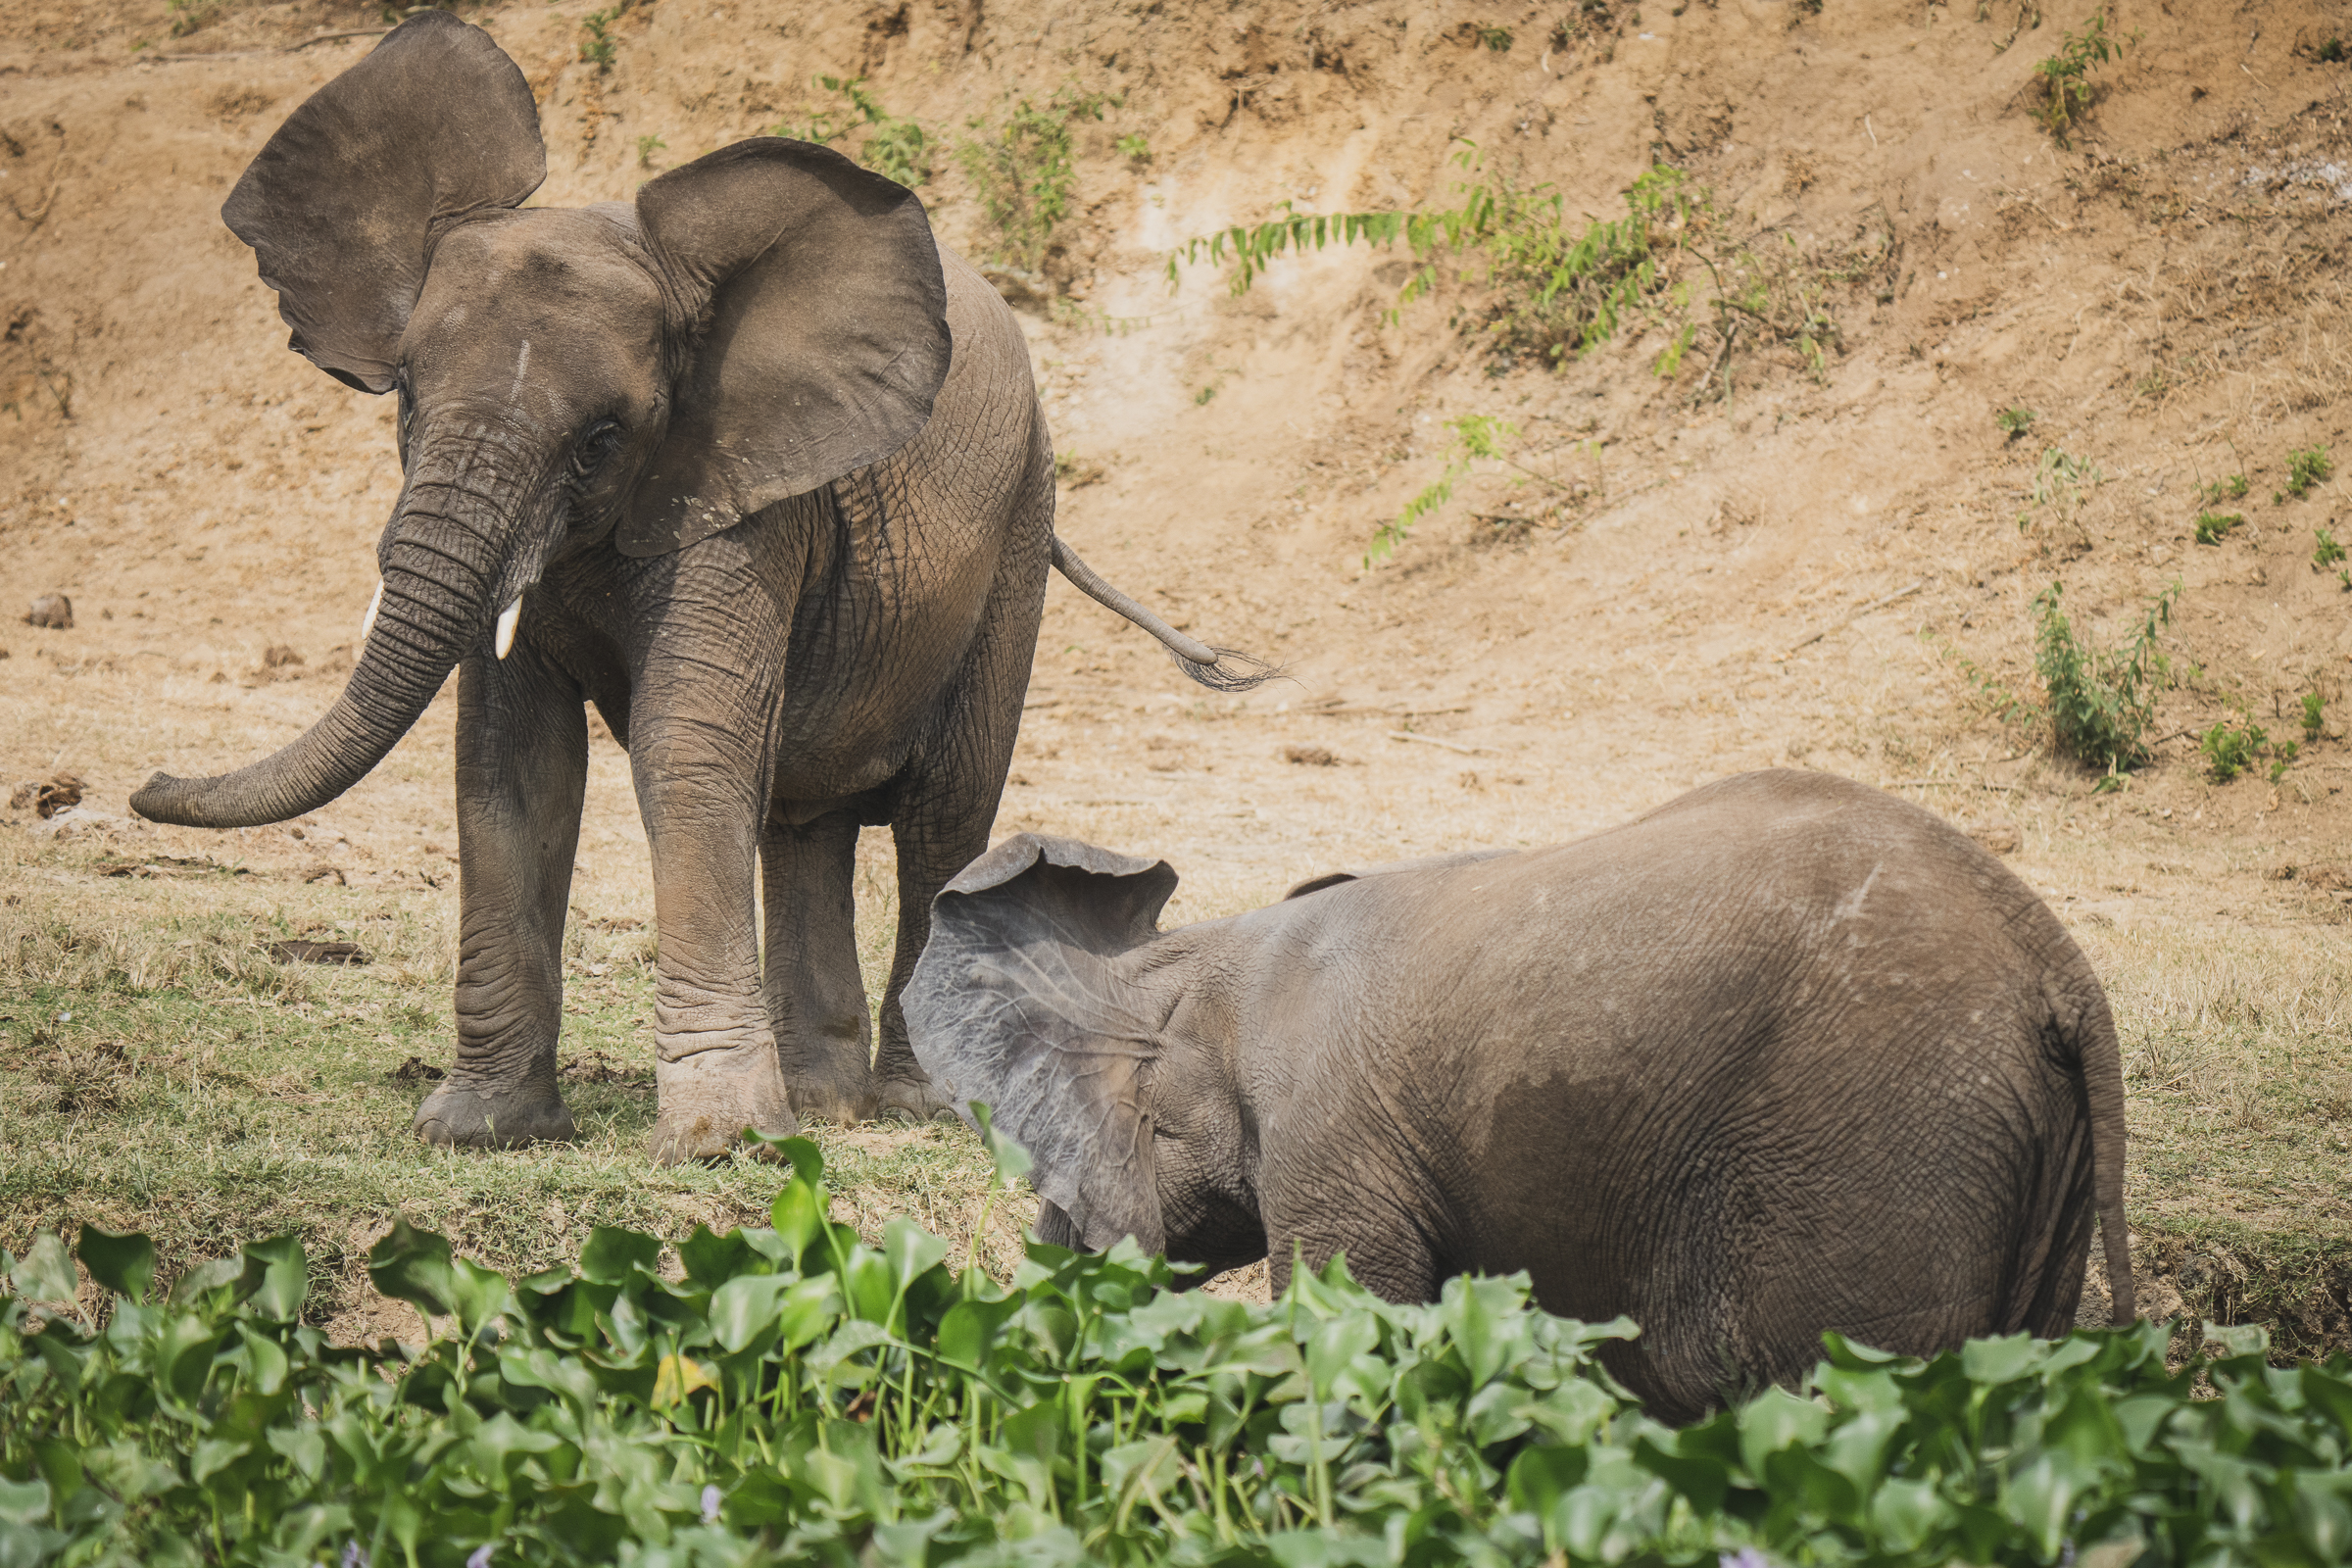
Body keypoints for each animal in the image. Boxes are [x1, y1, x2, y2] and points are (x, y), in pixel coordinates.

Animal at [128, 15, 1260, 1165]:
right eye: (403, 394)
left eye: (602, 438)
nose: (147, 785)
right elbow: (513, 761)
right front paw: (481, 1128)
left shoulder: (741, 493)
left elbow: (684, 744)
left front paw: (721, 1143)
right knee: (803, 818)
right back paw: (823, 1104)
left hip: (1017, 527)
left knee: (945, 812)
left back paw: (921, 1106)